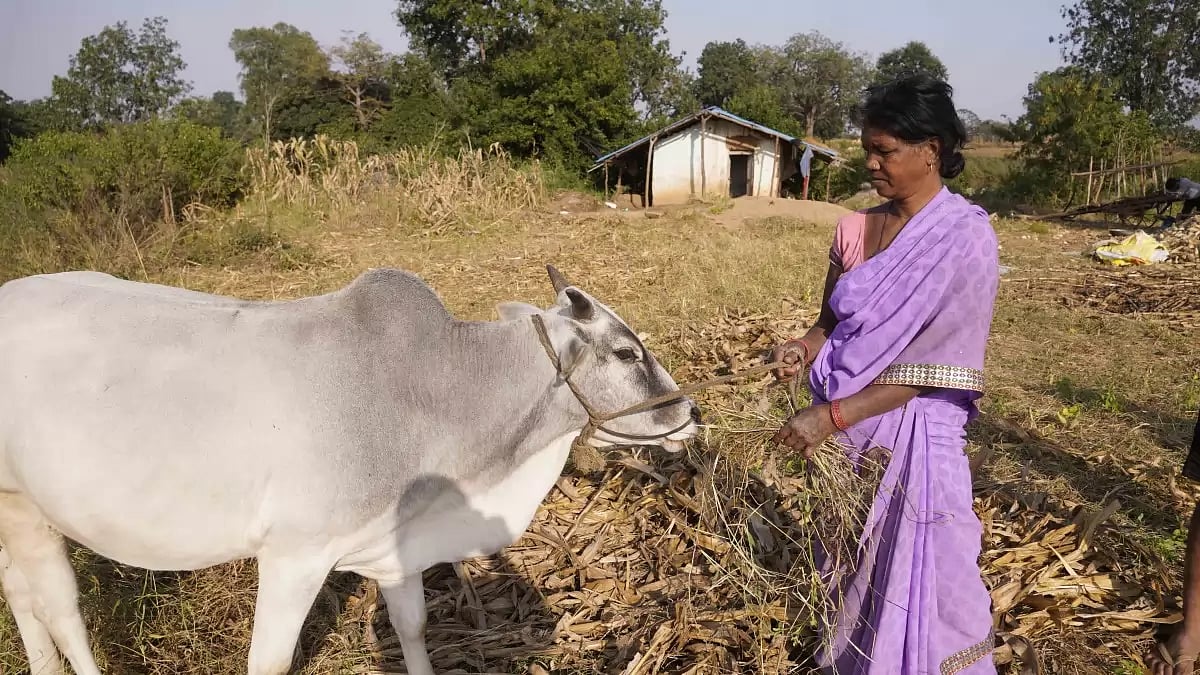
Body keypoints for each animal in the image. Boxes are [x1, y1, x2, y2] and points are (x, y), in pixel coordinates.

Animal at [0, 264, 699, 675]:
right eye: (627, 352)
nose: (690, 412)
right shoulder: (294, 556)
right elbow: (270, 662)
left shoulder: (395, 549)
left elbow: (414, 628)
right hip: (26, 506)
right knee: (61, 609)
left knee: (23, 596)